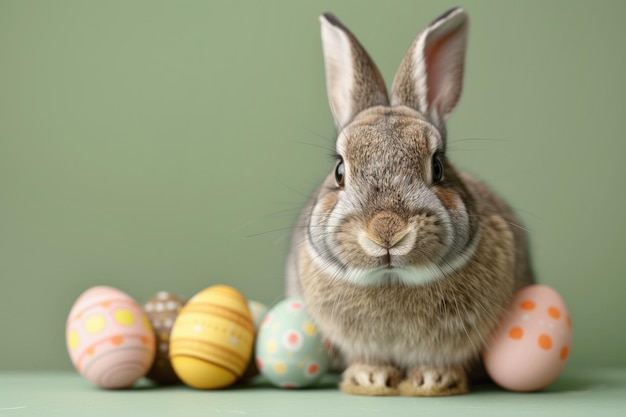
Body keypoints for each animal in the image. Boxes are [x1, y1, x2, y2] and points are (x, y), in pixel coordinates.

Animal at [282, 8, 532, 394]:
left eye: (438, 166)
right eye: (340, 171)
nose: (387, 231)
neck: (394, 280)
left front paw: (432, 380)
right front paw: (368, 378)